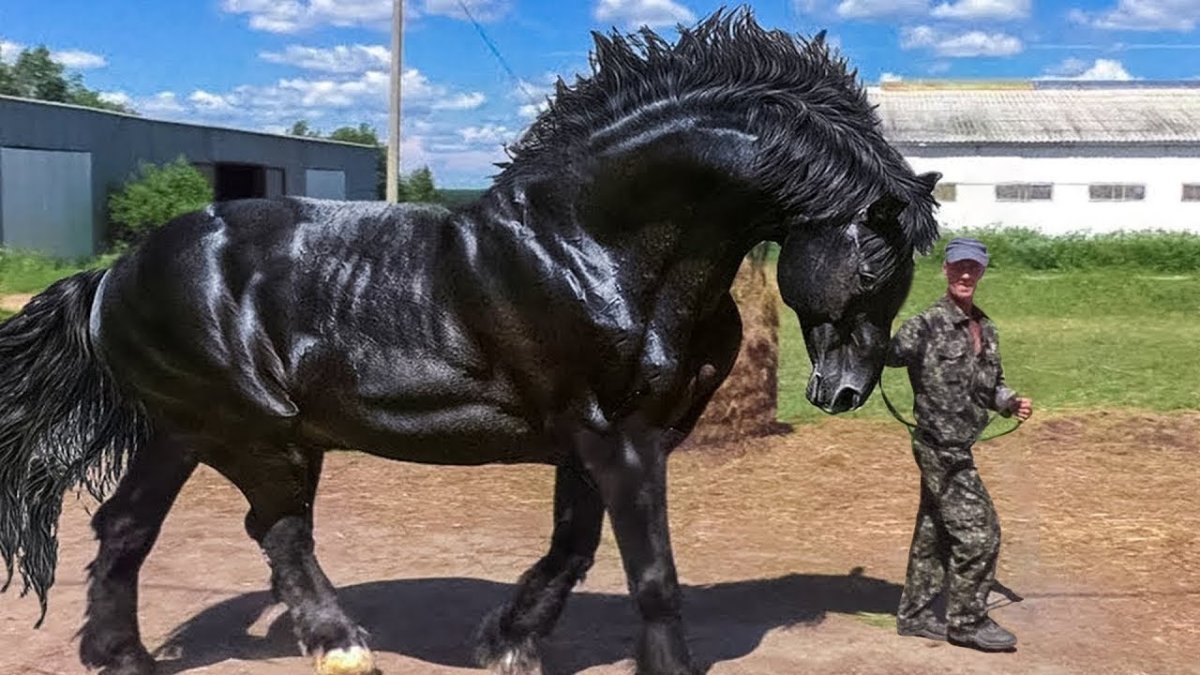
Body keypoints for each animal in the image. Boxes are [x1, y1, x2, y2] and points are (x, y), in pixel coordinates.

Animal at [0, 8, 940, 675]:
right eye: (873, 261)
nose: (845, 390)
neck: (594, 246)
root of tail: (113, 274)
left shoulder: (599, 439)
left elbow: (573, 548)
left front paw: (507, 637)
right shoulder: (618, 436)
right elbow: (651, 573)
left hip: (185, 428)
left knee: (127, 527)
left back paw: (123, 655)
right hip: (250, 430)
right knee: (277, 529)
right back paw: (340, 643)